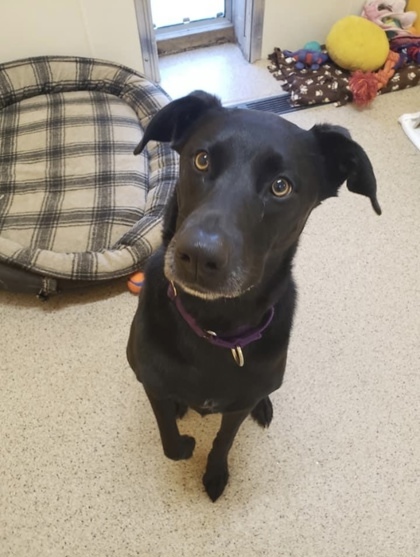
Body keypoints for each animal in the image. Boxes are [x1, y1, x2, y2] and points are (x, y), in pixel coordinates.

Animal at [127, 90, 380, 500]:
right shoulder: (151, 384)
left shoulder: (236, 406)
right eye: (201, 159)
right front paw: (185, 442)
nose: (198, 256)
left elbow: (223, 441)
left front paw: (215, 472)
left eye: (281, 186)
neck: (213, 327)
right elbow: (170, 443)